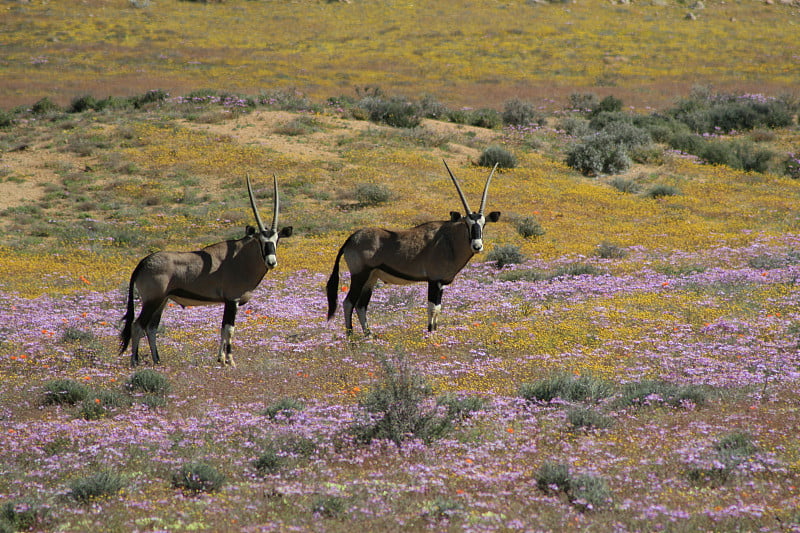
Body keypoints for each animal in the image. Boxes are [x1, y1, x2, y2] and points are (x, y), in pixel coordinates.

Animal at [119, 175, 294, 366]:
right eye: (260, 240)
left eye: (277, 240)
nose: (271, 262)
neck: (239, 257)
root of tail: (143, 263)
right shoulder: (232, 300)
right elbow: (230, 329)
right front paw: (230, 361)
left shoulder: (227, 302)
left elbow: (223, 329)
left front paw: (221, 359)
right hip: (152, 300)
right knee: (137, 326)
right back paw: (134, 362)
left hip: (161, 301)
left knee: (151, 328)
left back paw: (158, 361)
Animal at [326, 161, 500, 336]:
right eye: (466, 224)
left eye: (484, 224)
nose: (477, 246)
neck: (448, 240)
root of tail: (351, 239)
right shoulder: (434, 280)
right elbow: (432, 308)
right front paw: (430, 335)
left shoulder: (441, 283)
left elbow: (438, 308)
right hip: (359, 275)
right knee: (348, 302)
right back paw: (351, 337)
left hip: (371, 278)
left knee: (361, 305)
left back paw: (369, 336)